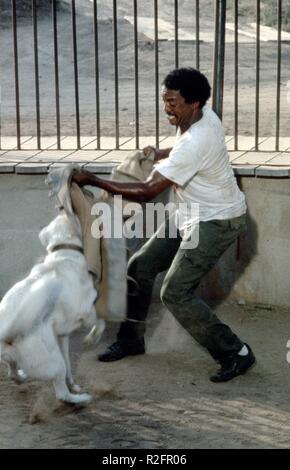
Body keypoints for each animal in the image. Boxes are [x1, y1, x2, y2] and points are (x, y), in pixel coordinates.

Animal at [0, 211, 104, 406]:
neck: (63, 251)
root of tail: (6, 333)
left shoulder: (62, 334)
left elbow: (69, 364)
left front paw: (73, 383)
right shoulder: (87, 311)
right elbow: (100, 322)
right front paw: (91, 339)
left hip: (23, 359)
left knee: (13, 374)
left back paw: (24, 376)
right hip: (54, 363)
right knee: (61, 394)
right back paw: (82, 399)